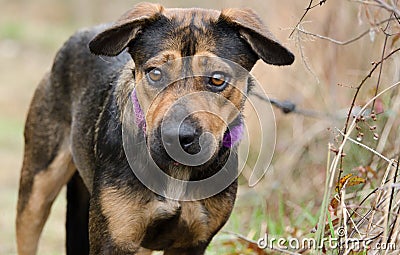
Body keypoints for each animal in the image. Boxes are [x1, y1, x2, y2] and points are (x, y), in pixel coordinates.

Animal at [15, 2, 294, 255]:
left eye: (217, 79)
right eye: (156, 73)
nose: (176, 137)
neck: (177, 173)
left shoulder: (191, 243)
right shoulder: (114, 240)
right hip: (36, 190)